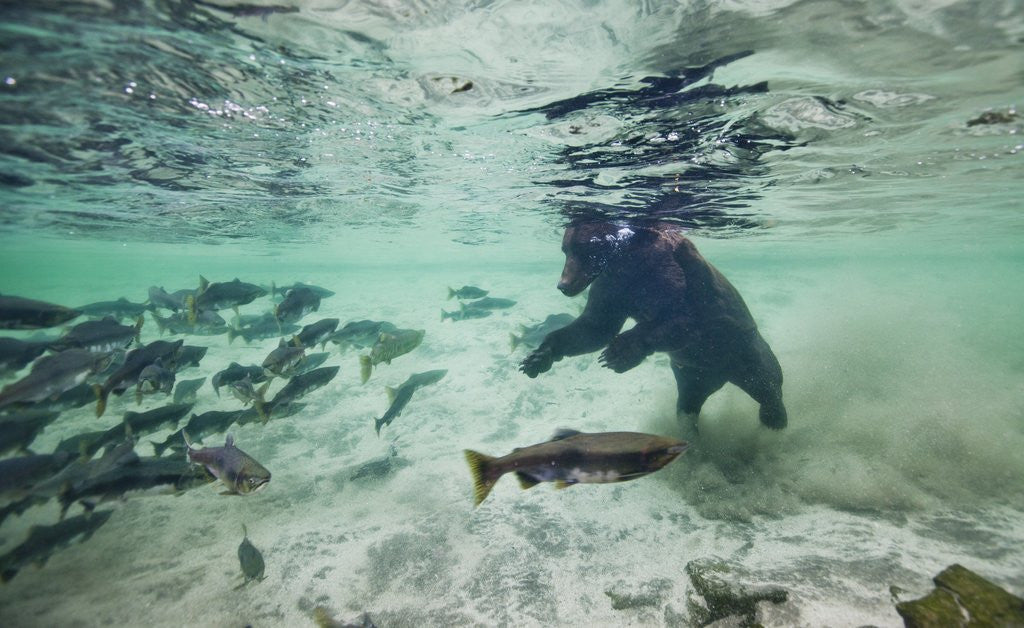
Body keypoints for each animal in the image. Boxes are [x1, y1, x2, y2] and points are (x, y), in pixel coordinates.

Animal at [520, 220, 787, 431]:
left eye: (584, 248)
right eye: (566, 249)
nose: (563, 285)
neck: (627, 262)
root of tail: (721, 377)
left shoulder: (668, 275)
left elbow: (682, 319)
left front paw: (618, 352)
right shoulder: (612, 286)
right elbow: (595, 326)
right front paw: (537, 357)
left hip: (742, 349)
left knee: (767, 383)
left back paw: (774, 419)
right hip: (693, 373)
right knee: (687, 404)